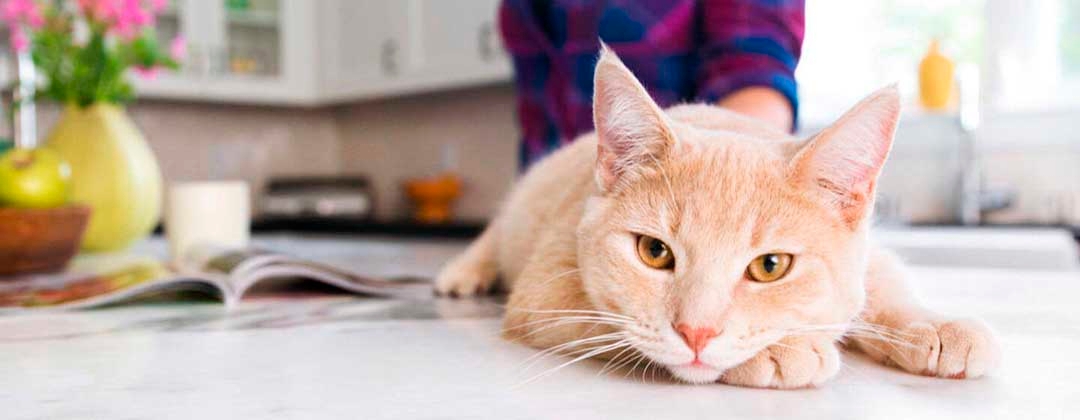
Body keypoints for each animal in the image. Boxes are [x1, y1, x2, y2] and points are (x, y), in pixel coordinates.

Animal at [434, 47, 997, 388]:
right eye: (654, 252)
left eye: (771, 266)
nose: (697, 333)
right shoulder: (545, 289)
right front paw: (780, 351)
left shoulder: (868, 254)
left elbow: (881, 286)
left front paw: (932, 324)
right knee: (494, 230)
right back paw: (463, 271)